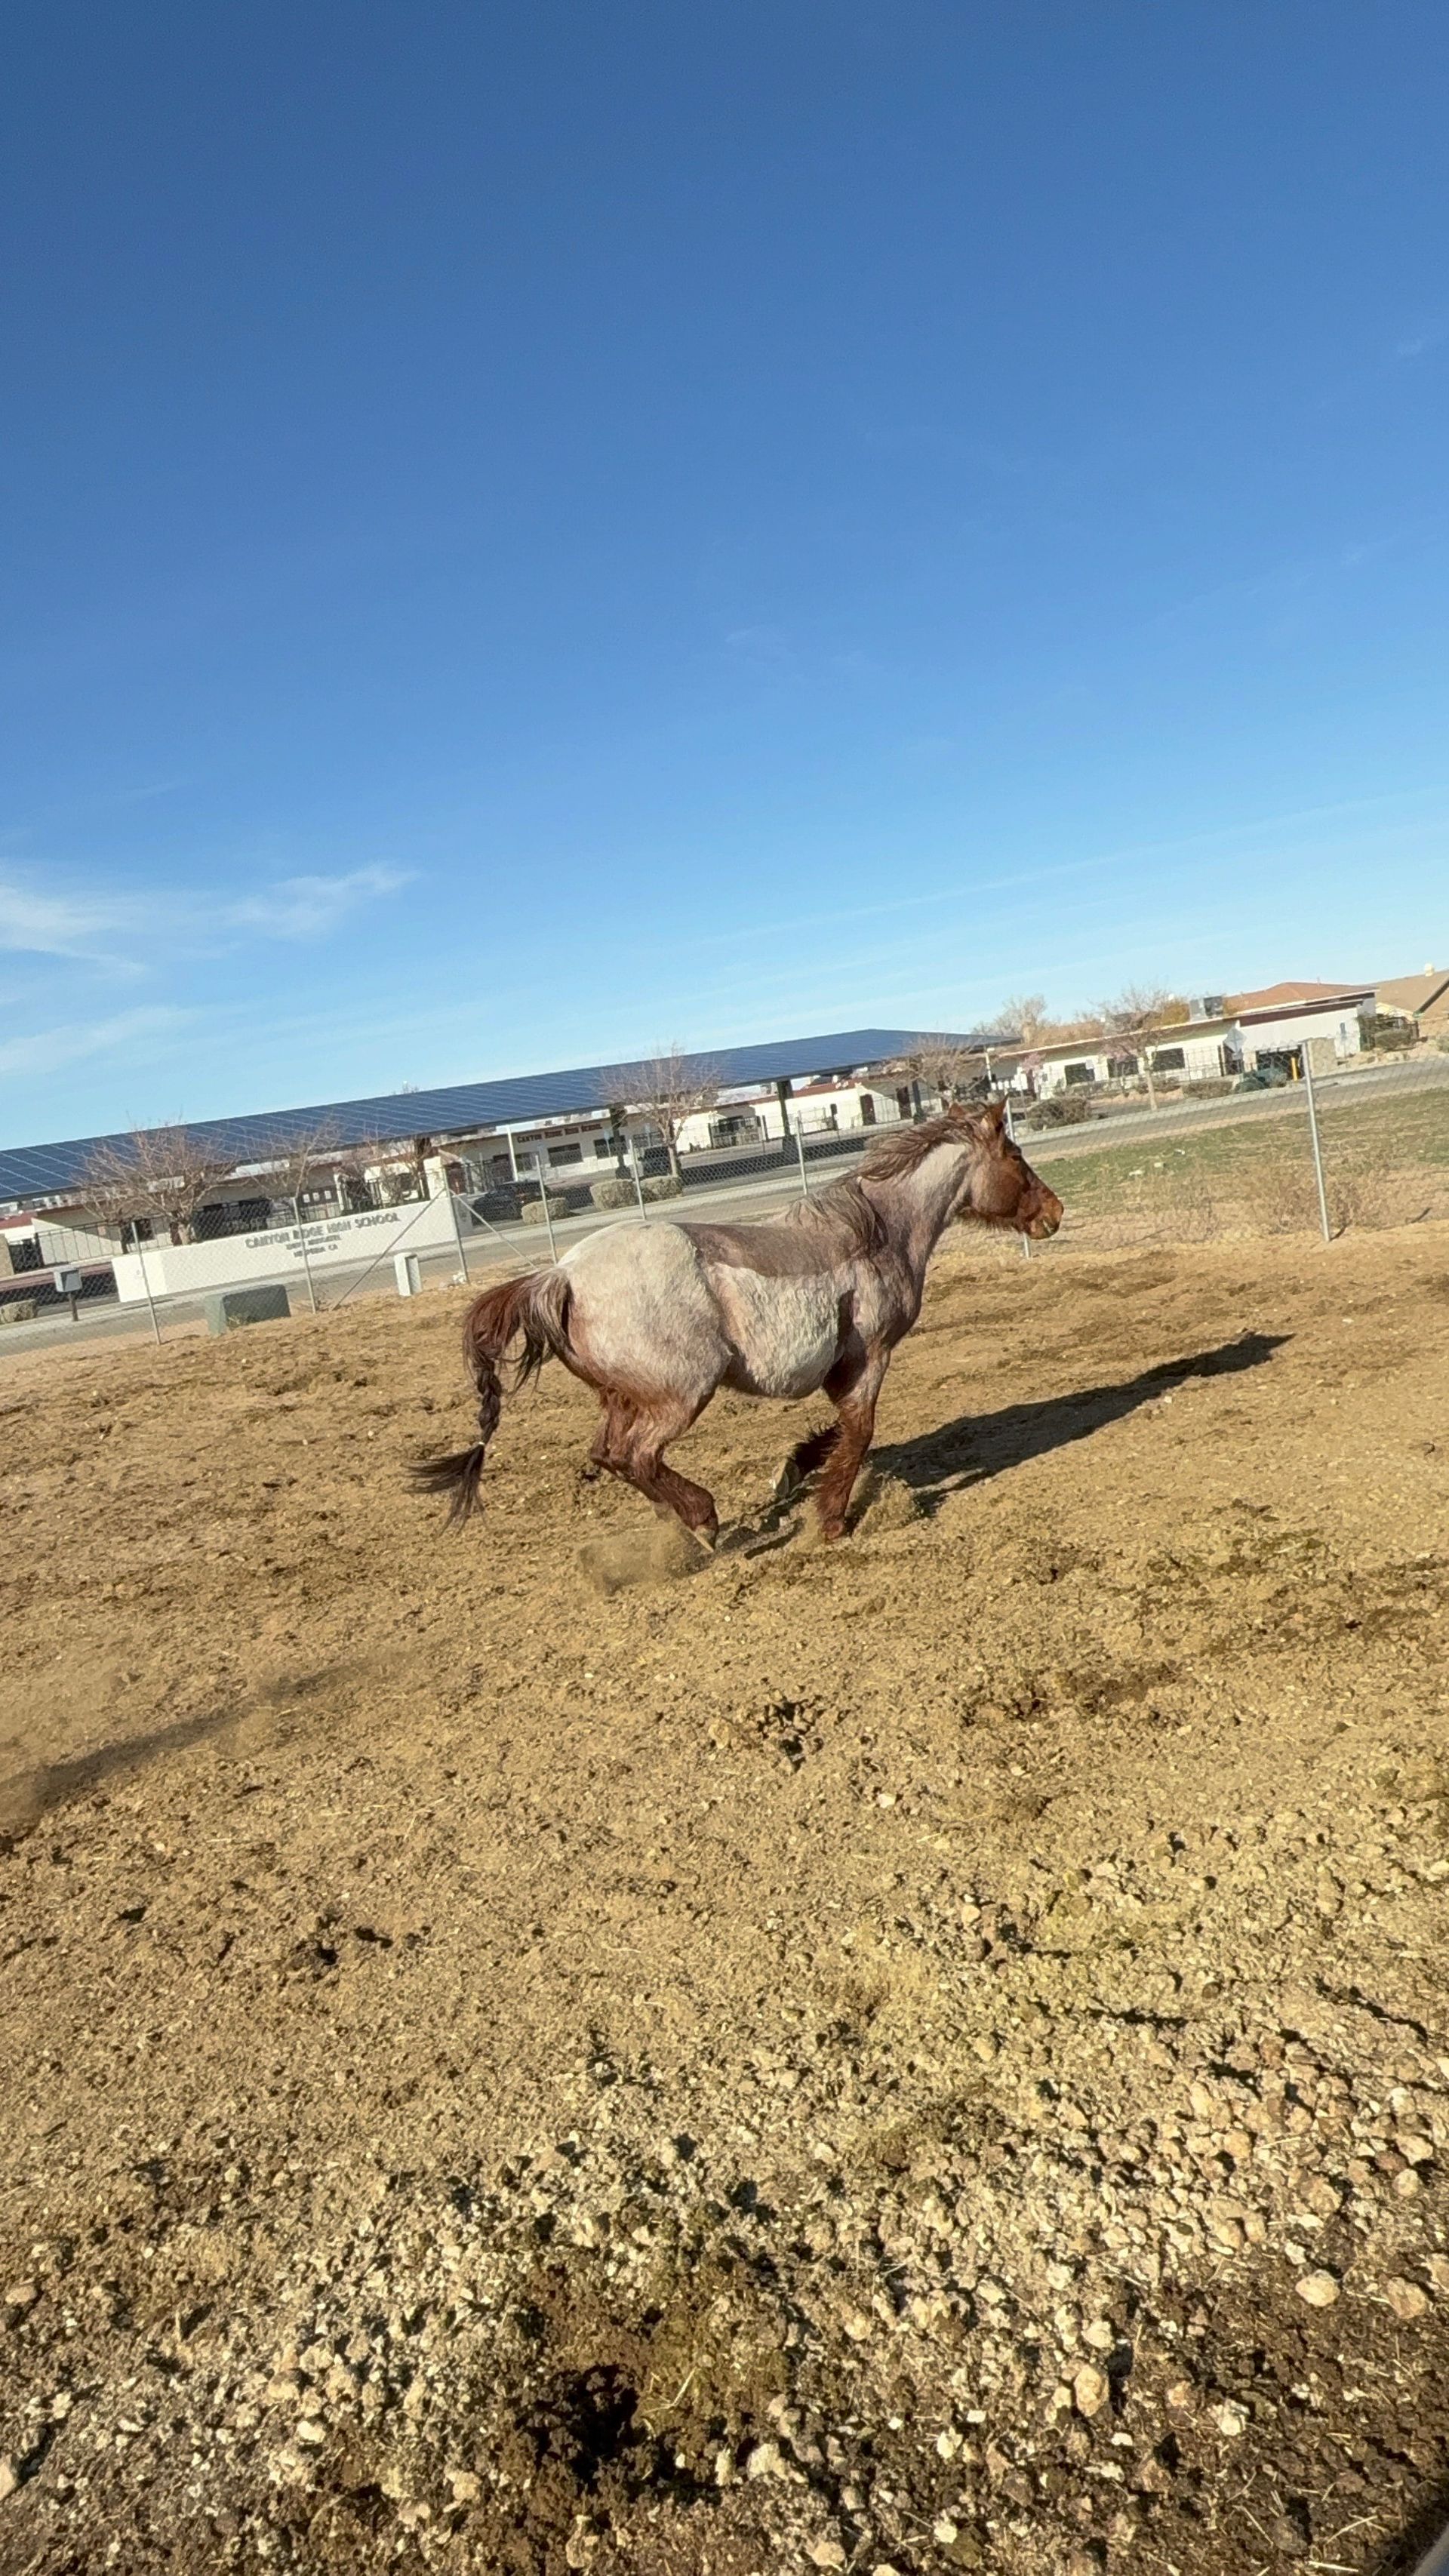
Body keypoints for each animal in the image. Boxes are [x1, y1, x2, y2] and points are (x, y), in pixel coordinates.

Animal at [415, 1101, 1062, 1545]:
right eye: (1015, 1156)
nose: (1054, 1212)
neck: (878, 1232)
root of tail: (561, 1274)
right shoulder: (869, 1358)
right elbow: (858, 1433)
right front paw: (832, 1520)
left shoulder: (840, 1370)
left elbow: (834, 1435)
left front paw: (793, 1472)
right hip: (682, 1392)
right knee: (636, 1456)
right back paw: (703, 1520)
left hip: (622, 1395)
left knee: (607, 1454)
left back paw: (679, 1520)